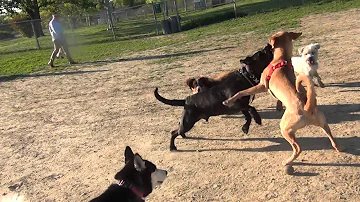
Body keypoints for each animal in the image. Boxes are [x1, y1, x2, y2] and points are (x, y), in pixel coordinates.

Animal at [222, 31, 344, 167]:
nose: (267, 44)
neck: (281, 59)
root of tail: (307, 108)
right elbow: (278, 99)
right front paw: (278, 106)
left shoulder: (262, 86)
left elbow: (241, 92)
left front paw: (228, 101)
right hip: (323, 123)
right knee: (331, 137)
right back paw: (339, 148)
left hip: (285, 129)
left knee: (298, 148)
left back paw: (287, 161)